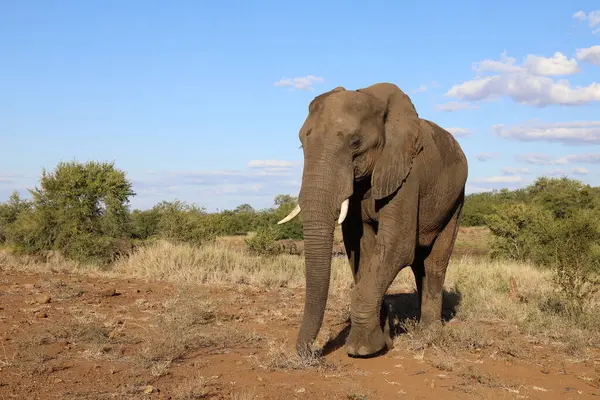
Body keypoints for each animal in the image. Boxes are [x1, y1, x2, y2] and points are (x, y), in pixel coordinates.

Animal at [276, 83, 468, 358]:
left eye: (355, 143)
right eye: (303, 145)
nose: (310, 351)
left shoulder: (407, 174)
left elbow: (396, 247)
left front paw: (362, 350)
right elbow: (361, 250)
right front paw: (382, 342)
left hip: (456, 199)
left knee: (434, 263)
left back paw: (428, 334)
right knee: (418, 265)